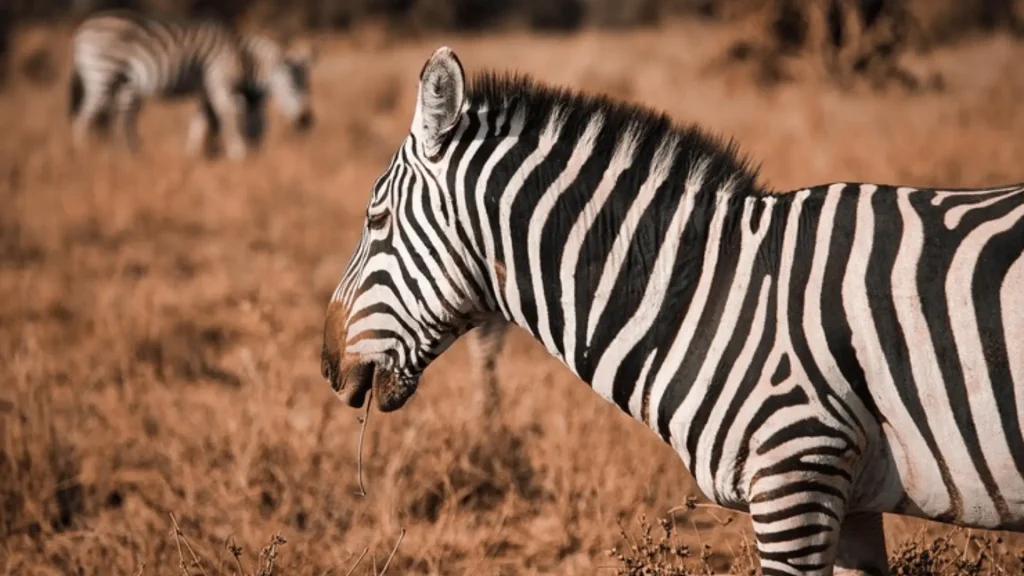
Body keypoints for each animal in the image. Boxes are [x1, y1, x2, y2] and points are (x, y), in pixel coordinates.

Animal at [68, 10, 316, 160]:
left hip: (124, 84)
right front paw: (238, 154)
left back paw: (129, 155)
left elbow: (199, 122)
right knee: (83, 119)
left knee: (121, 120)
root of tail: (83, 27)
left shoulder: (206, 91)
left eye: (308, 86)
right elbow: (227, 116)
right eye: (293, 85)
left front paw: (194, 156)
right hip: (101, 74)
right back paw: (84, 155)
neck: (242, 57)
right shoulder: (217, 82)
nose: (307, 121)